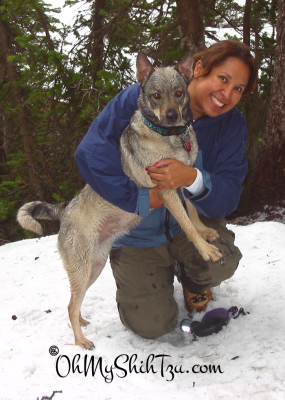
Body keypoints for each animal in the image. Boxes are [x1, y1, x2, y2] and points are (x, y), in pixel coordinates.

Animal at [17, 51, 222, 348]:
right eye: (156, 95)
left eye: (179, 92)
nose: (172, 116)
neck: (170, 136)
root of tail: (64, 210)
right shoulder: (167, 190)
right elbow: (186, 223)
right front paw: (205, 249)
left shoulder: (184, 180)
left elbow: (193, 212)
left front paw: (206, 232)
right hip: (82, 269)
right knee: (70, 305)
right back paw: (81, 341)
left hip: (94, 267)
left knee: (73, 303)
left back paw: (82, 324)